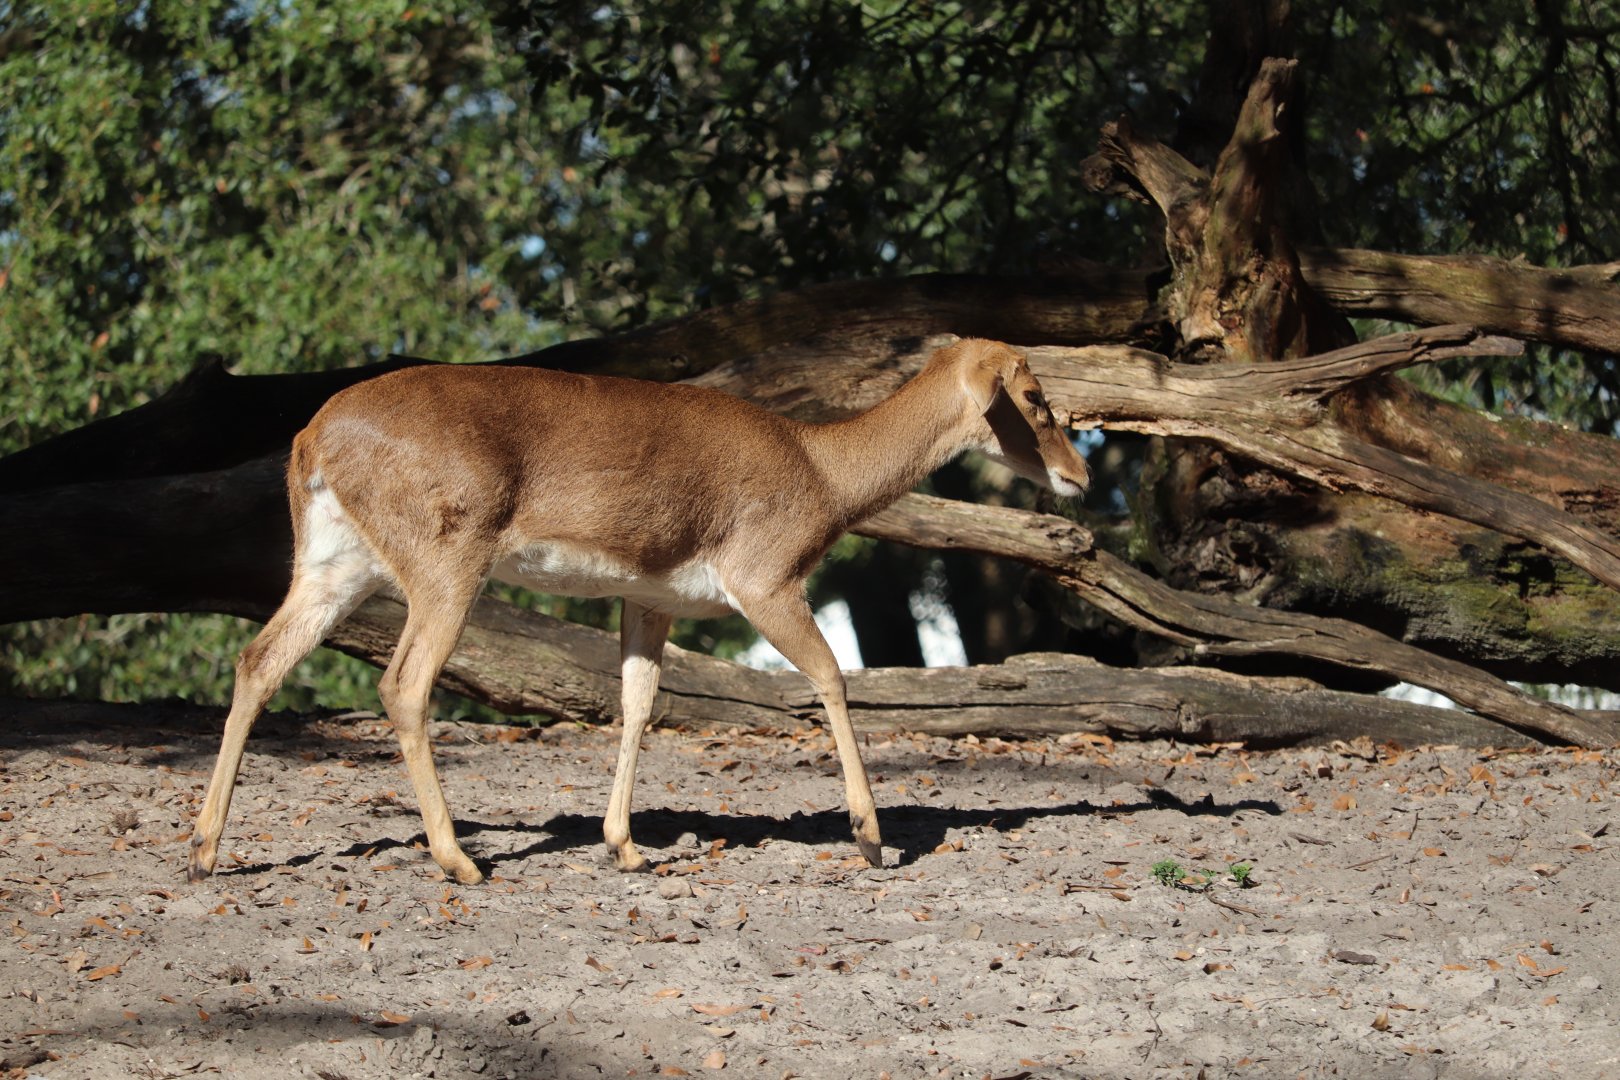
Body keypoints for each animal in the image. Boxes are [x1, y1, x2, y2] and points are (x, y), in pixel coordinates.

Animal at [186, 337, 1090, 885]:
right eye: (1035, 394)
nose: (1079, 475)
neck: (824, 474)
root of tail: (309, 437)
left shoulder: (650, 597)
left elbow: (637, 703)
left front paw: (624, 845)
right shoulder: (765, 577)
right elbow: (834, 677)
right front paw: (874, 839)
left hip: (336, 566)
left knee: (258, 660)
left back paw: (202, 849)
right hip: (446, 559)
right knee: (404, 684)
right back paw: (461, 861)